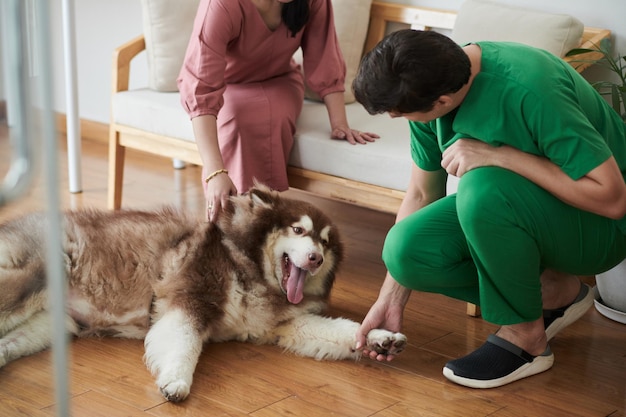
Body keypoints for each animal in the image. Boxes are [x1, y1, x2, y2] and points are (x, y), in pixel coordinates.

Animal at [0, 184, 404, 400]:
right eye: (298, 230)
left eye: (325, 242)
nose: (317, 259)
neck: (247, 265)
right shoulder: (189, 300)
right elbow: (184, 346)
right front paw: (176, 381)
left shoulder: (285, 327)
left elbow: (341, 330)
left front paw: (381, 338)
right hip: (29, 284)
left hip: (53, 324)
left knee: (8, 343)